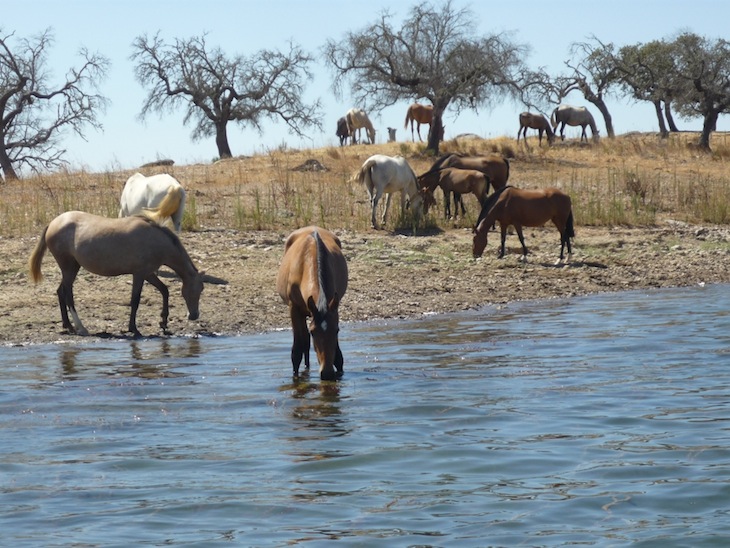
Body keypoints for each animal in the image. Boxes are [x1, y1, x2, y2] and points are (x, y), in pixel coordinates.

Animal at [28, 211, 203, 336]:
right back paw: (80, 327)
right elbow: (135, 301)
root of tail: (53, 223)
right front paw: (134, 329)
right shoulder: (139, 274)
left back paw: (68, 325)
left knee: (60, 291)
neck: (155, 240)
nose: (194, 315)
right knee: (68, 293)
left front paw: (163, 322)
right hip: (68, 266)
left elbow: (164, 291)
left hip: (73, 267)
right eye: (198, 289)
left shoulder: (148, 273)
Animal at [278, 227, 348, 382]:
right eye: (314, 331)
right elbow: (297, 351)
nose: (327, 373)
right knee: (304, 341)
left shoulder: (334, 308)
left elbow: (339, 357)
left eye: (337, 330)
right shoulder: (294, 309)